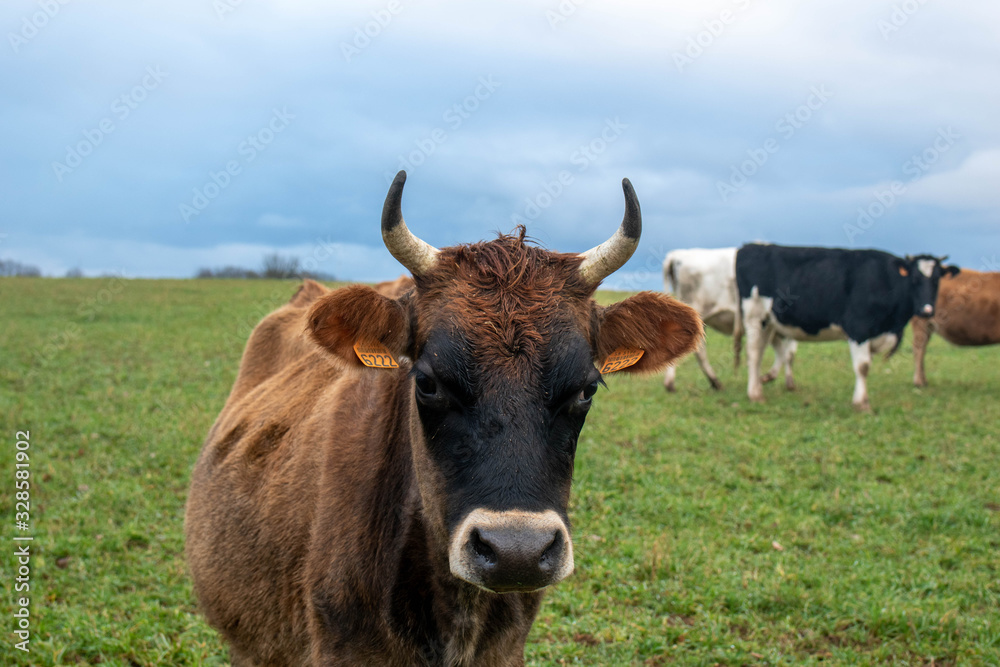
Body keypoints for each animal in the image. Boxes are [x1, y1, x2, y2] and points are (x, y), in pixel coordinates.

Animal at [664, 248, 796, 394]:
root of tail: (677, 255)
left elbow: (780, 351)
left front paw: (770, 377)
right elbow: (789, 354)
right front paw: (787, 382)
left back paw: (672, 384)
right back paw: (713, 382)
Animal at [740, 244, 948, 410]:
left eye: (937, 280)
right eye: (914, 279)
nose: (926, 310)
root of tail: (751, 247)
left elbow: (865, 366)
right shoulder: (859, 328)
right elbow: (863, 367)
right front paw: (861, 404)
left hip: (768, 323)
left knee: (760, 354)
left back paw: (758, 389)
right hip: (754, 318)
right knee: (753, 353)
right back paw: (754, 394)